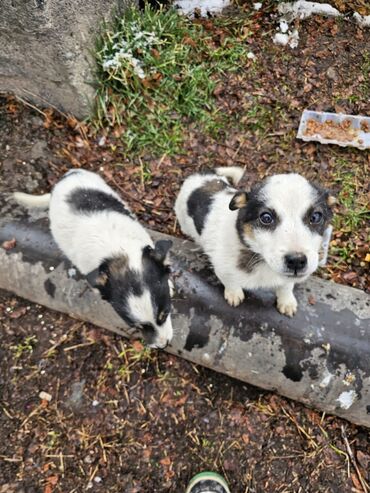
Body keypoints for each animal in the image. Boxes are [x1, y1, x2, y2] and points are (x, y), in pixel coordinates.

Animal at [175, 167, 334, 318]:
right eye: (266, 217)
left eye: (315, 217)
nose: (296, 261)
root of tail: (200, 175)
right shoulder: (222, 268)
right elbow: (230, 282)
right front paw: (234, 294)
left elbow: (286, 285)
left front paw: (287, 301)